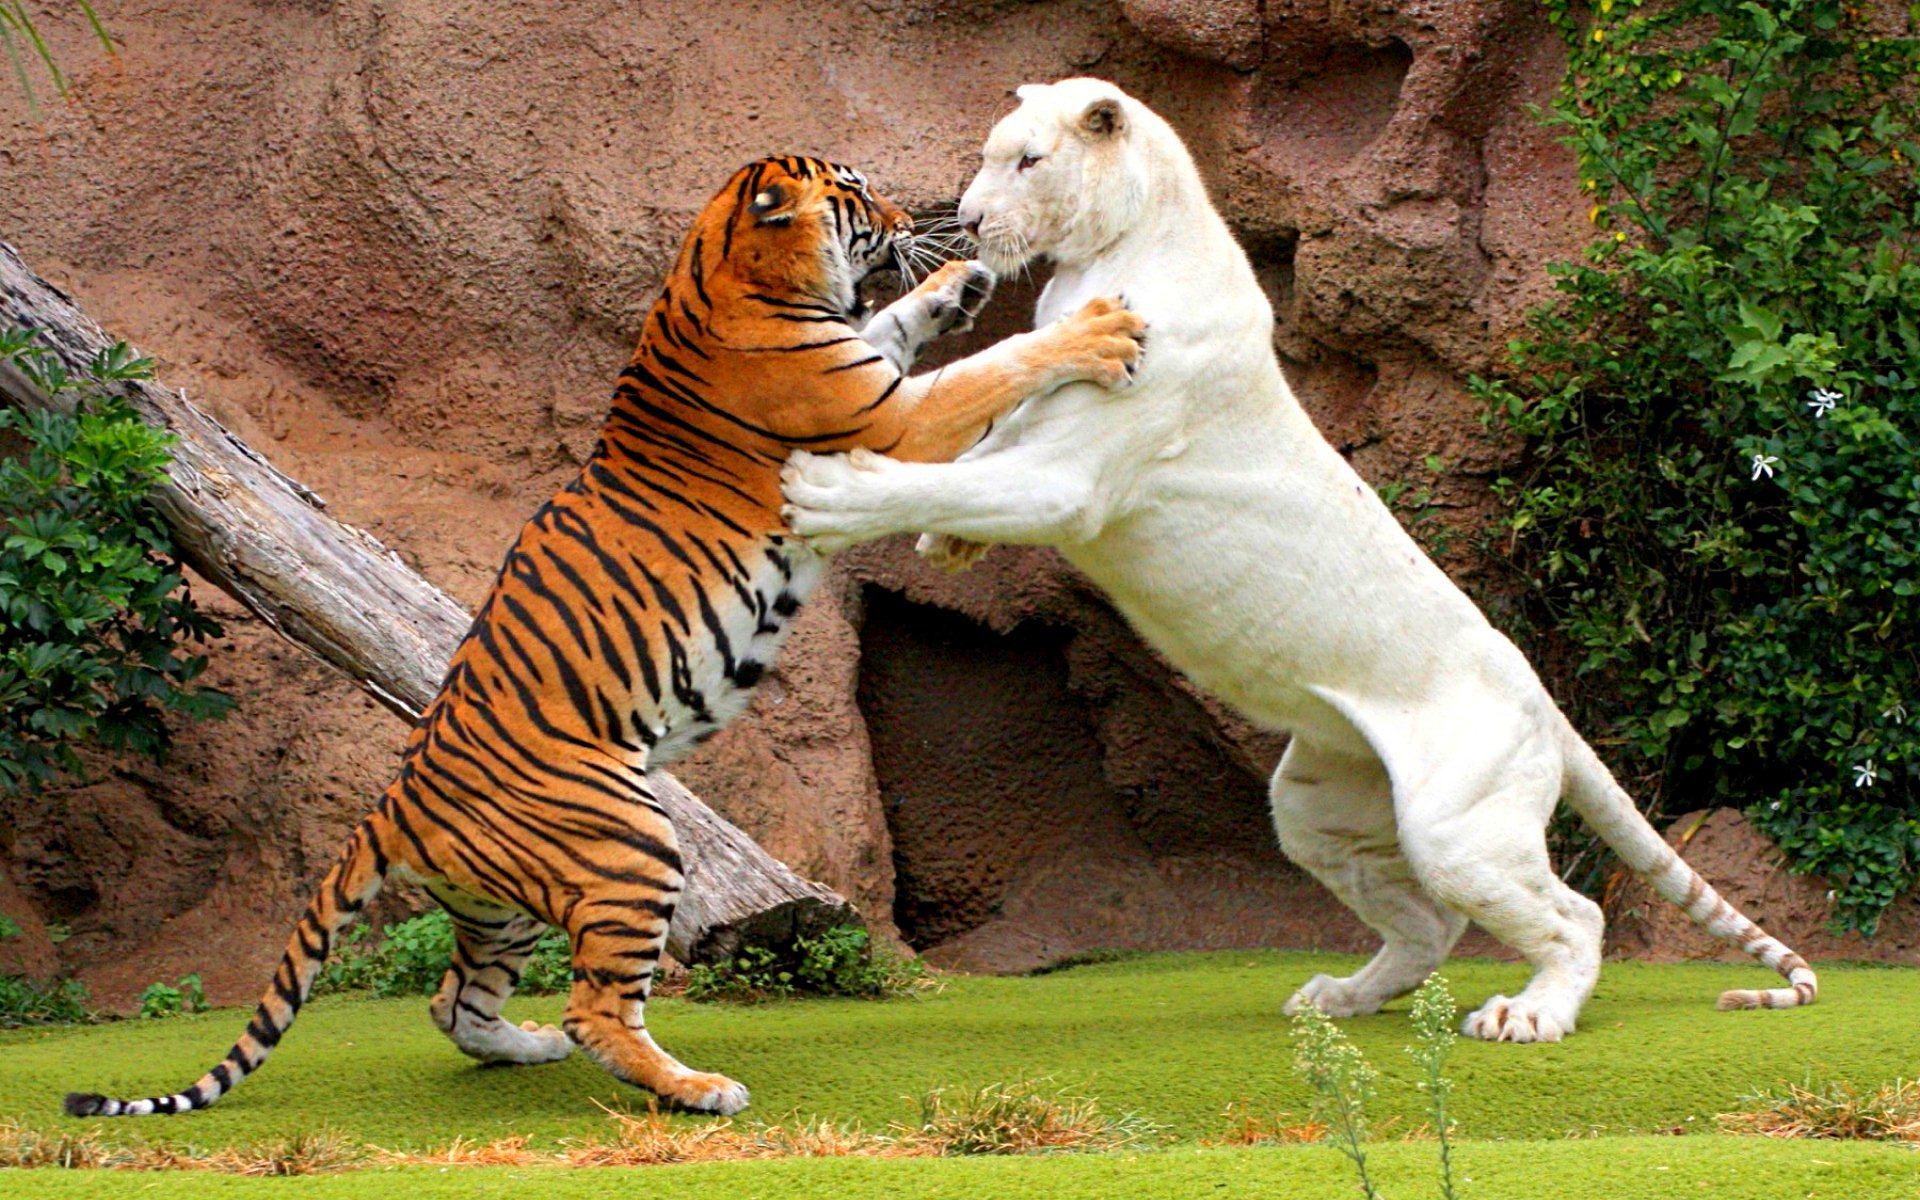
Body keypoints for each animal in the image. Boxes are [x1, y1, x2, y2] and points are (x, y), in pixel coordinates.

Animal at [64, 154, 1146, 1119]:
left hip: (500, 909)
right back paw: (696, 1089)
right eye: (856, 190)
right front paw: (1098, 329)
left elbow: (900, 324)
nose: (920, 213)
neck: (726, 275)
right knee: (596, 1010)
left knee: (454, 1002)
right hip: (632, 846)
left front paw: (958, 285)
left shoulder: (876, 379)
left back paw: (530, 1046)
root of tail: (392, 807)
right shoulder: (889, 424)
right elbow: (990, 369)